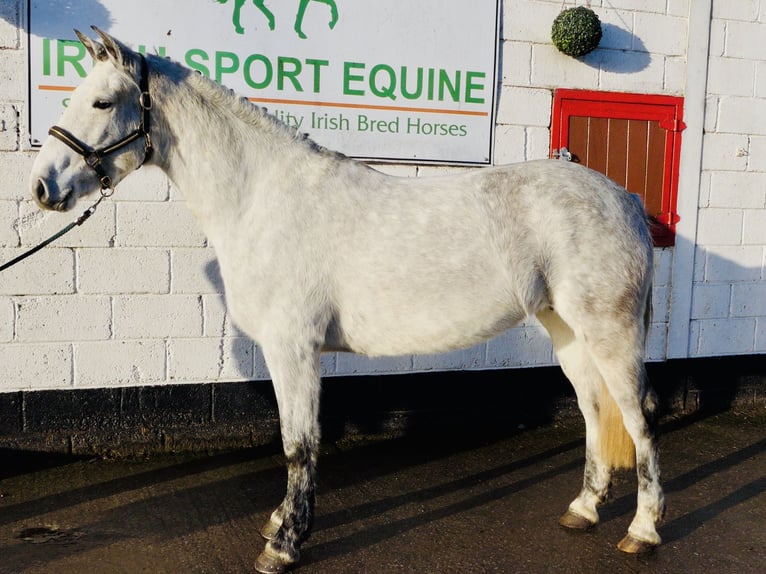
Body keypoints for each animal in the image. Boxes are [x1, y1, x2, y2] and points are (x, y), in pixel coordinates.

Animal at [29, 28, 664, 573]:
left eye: (104, 102)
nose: (42, 188)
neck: (259, 199)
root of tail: (624, 199)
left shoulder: (294, 349)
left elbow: (298, 445)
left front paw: (285, 544)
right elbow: (297, 441)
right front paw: (280, 523)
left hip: (610, 332)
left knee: (638, 417)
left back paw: (642, 531)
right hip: (568, 331)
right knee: (593, 410)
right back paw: (583, 510)